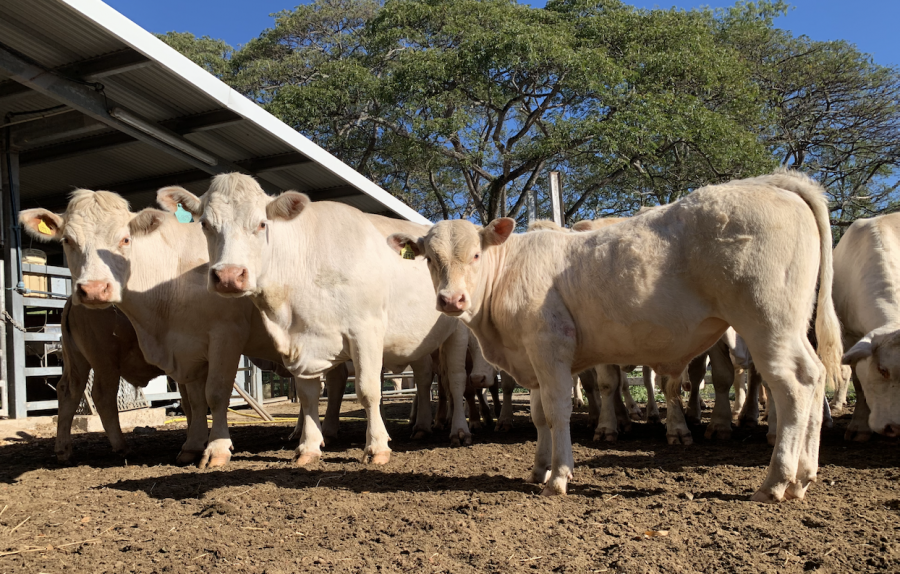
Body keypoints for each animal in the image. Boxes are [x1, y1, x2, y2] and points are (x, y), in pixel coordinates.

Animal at [21, 191, 284, 470]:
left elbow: (209, 395)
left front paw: (207, 447)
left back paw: (74, 449)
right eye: (67, 240)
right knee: (94, 394)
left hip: (85, 358)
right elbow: (200, 399)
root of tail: (71, 300)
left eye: (125, 239)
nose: (93, 289)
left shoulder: (218, 338)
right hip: (100, 357)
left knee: (74, 391)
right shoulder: (198, 347)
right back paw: (106, 447)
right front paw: (201, 446)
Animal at [160, 172, 472, 468]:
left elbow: (368, 390)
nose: (228, 276)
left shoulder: (366, 330)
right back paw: (421, 426)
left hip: (457, 330)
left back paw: (458, 430)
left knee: (455, 380)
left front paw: (377, 448)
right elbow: (309, 394)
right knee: (426, 376)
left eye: (262, 224)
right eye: (205, 225)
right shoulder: (300, 338)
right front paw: (309, 447)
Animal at [388, 171, 844, 504]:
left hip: (767, 323)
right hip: (790, 327)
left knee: (793, 387)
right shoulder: (533, 361)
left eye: (476, 255)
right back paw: (803, 477)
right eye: (430, 259)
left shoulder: (551, 348)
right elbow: (538, 416)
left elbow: (558, 413)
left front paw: (558, 476)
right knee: (816, 376)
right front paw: (538, 469)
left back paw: (776, 482)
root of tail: (772, 181)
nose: (451, 299)